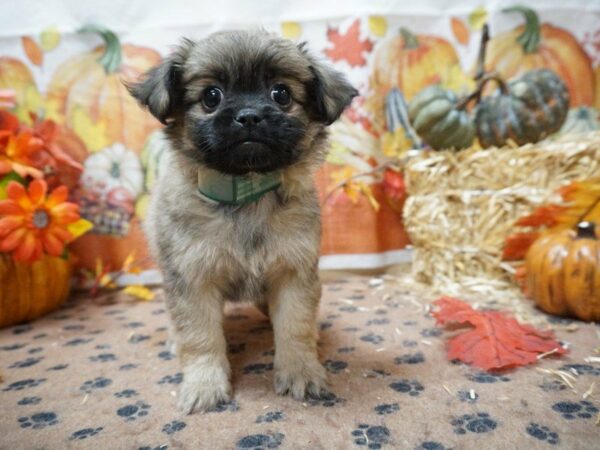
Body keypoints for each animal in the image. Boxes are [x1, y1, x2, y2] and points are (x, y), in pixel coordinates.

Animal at [127, 29, 356, 414]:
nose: (249, 116)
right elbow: (201, 338)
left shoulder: (294, 274)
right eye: (211, 96)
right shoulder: (192, 281)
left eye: (281, 94)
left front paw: (301, 372)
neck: (246, 193)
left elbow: (295, 327)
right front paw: (205, 385)